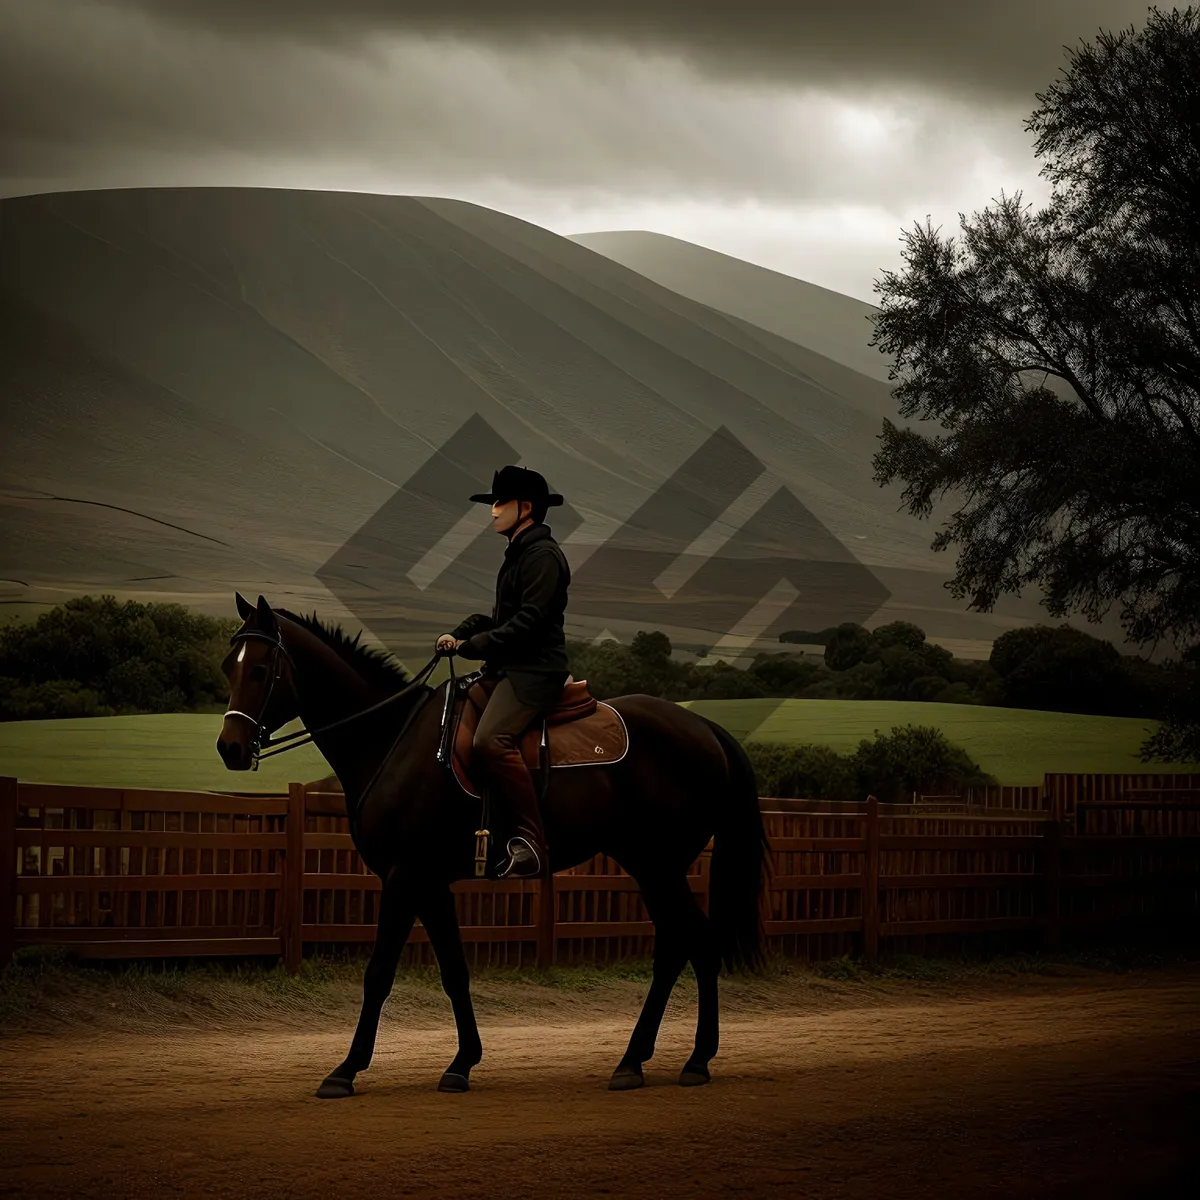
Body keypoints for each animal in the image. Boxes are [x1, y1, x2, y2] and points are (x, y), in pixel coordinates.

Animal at [216, 590, 768, 1099]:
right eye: (229, 666)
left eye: (262, 669)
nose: (230, 748)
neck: (391, 739)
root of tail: (705, 728)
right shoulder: (429, 881)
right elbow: (454, 970)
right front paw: (462, 1062)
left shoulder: (404, 874)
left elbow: (379, 972)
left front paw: (346, 1070)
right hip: (648, 864)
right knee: (679, 945)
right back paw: (638, 1061)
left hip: (660, 864)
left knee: (696, 942)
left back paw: (692, 1060)